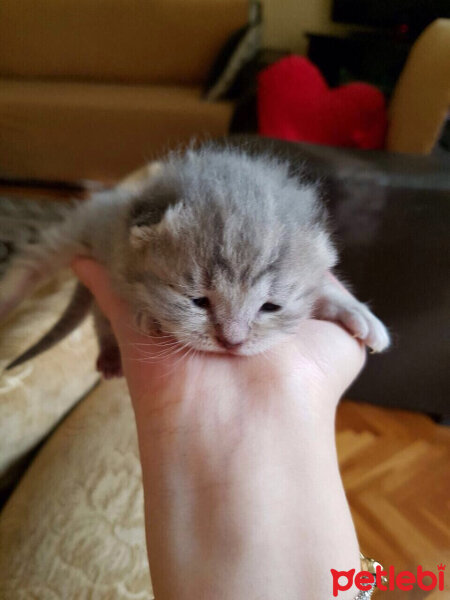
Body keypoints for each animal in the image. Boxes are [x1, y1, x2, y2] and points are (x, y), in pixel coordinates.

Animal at [0, 145, 388, 378]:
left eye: (270, 307)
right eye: (198, 301)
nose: (233, 342)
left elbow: (325, 288)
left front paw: (358, 313)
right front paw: (148, 314)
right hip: (79, 231)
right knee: (37, 262)